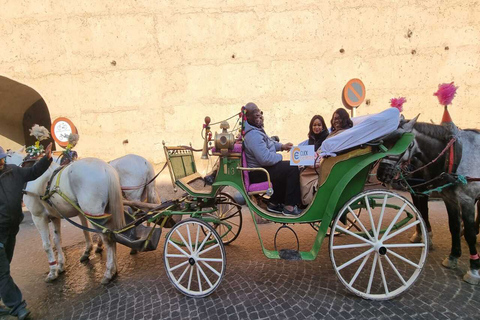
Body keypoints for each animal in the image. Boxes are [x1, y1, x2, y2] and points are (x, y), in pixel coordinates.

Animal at [7, 149, 124, 282]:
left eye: (7, 156)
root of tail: (105, 167)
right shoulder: (55, 217)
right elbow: (57, 240)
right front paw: (61, 265)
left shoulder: (38, 217)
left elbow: (47, 245)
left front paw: (52, 272)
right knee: (112, 236)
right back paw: (114, 268)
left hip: (94, 213)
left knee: (108, 239)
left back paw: (109, 272)